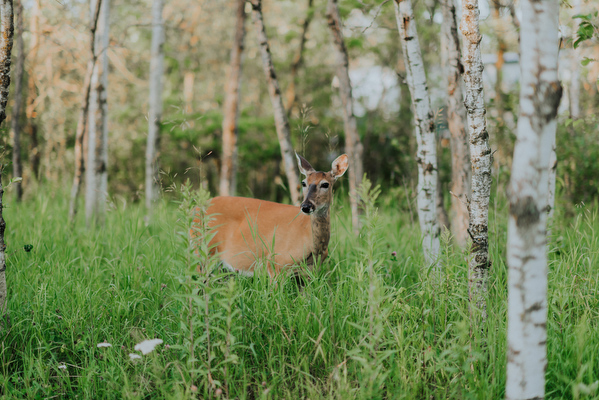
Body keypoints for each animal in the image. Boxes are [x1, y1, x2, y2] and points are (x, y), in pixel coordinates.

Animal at [192, 153, 350, 278]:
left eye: (325, 184)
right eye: (304, 183)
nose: (306, 206)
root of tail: (195, 208)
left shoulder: (309, 271)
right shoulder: (276, 263)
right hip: (202, 251)